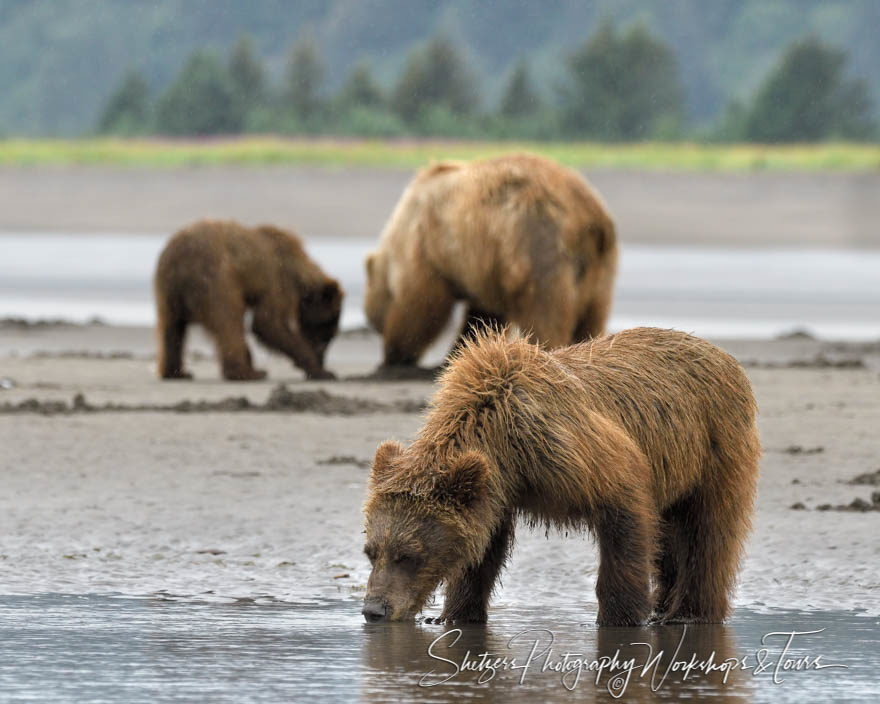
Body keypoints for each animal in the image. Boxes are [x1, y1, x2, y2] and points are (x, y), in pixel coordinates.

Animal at [155, 223, 340, 382]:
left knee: (172, 329)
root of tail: (179, 265)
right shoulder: (277, 281)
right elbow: (268, 323)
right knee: (229, 322)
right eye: (325, 328)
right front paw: (322, 371)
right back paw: (246, 373)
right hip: (215, 280)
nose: (322, 358)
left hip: (168, 293)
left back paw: (177, 373)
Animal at [360, 151, 616, 366]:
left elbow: (419, 302)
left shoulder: (425, 246)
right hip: (599, 269)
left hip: (537, 243)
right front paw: (461, 352)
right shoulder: (483, 268)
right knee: (592, 315)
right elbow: (483, 316)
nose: (375, 325)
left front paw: (395, 355)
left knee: (545, 311)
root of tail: (590, 217)